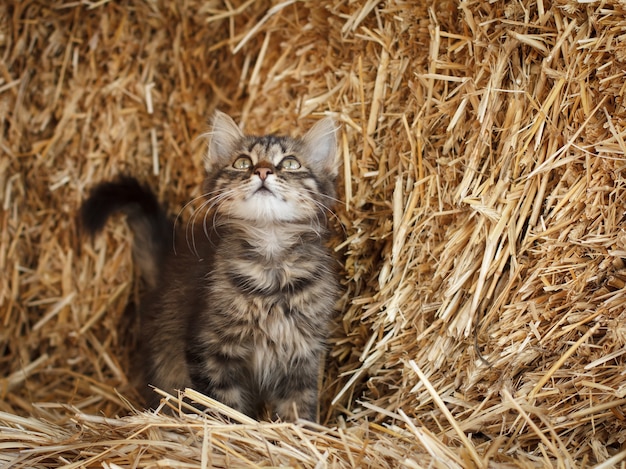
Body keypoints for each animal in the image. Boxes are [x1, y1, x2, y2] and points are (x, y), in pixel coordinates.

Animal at [81, 110, 342, 420]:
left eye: (290, 163)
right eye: (242, 162)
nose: (262, 172)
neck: (270, 260)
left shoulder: (301, 356)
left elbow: (298, 409)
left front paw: (299, 431)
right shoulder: (209, 349)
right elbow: (223, 406)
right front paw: (232, 428)